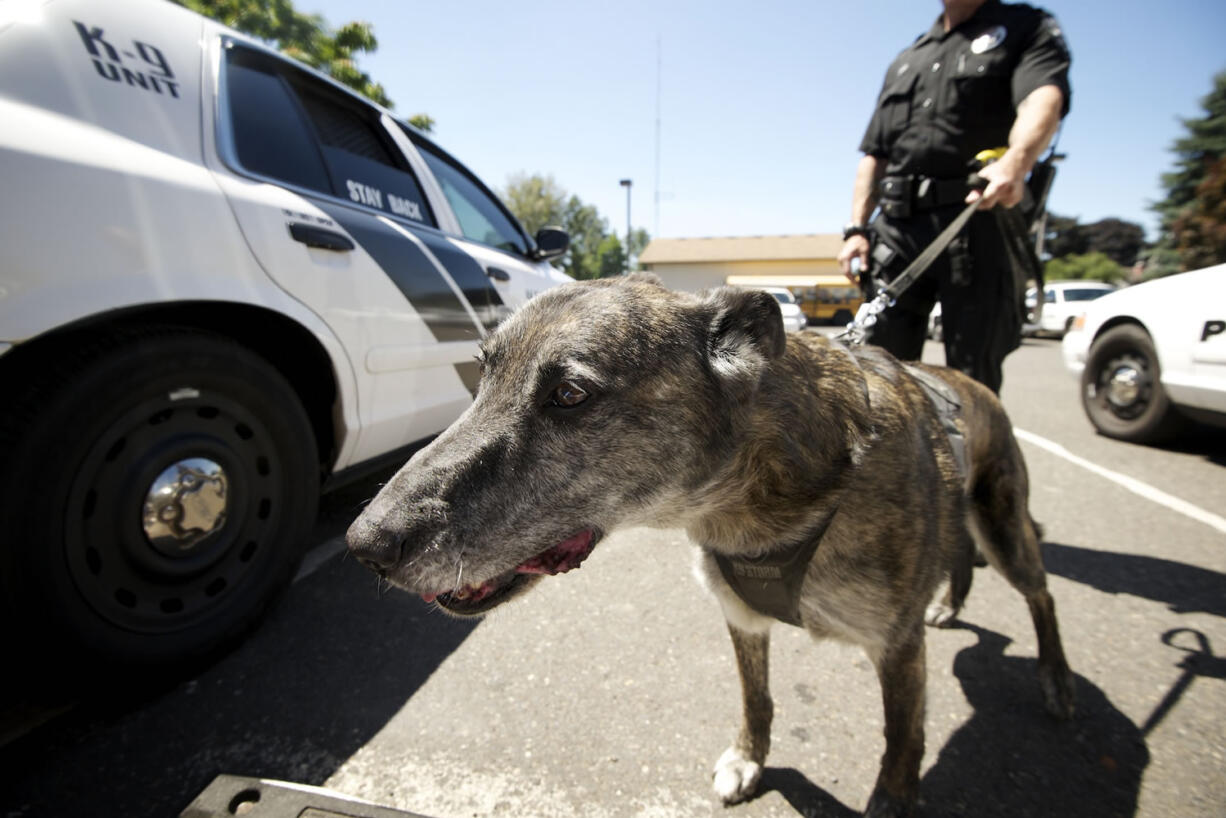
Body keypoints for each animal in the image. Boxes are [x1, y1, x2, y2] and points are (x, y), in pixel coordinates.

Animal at [348, 273, 1073, 818]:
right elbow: (758, 699)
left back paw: (1057, 679)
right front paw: (749, 759)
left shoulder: (896, 647)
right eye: (481, 377)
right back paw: (953, 605)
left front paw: (890, 801)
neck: (761, 494)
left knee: (1040, 594)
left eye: (569, 393)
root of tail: (976, 386)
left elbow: (901, 742)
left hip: (1004, 530)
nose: (364, 543)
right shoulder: (742, 616)